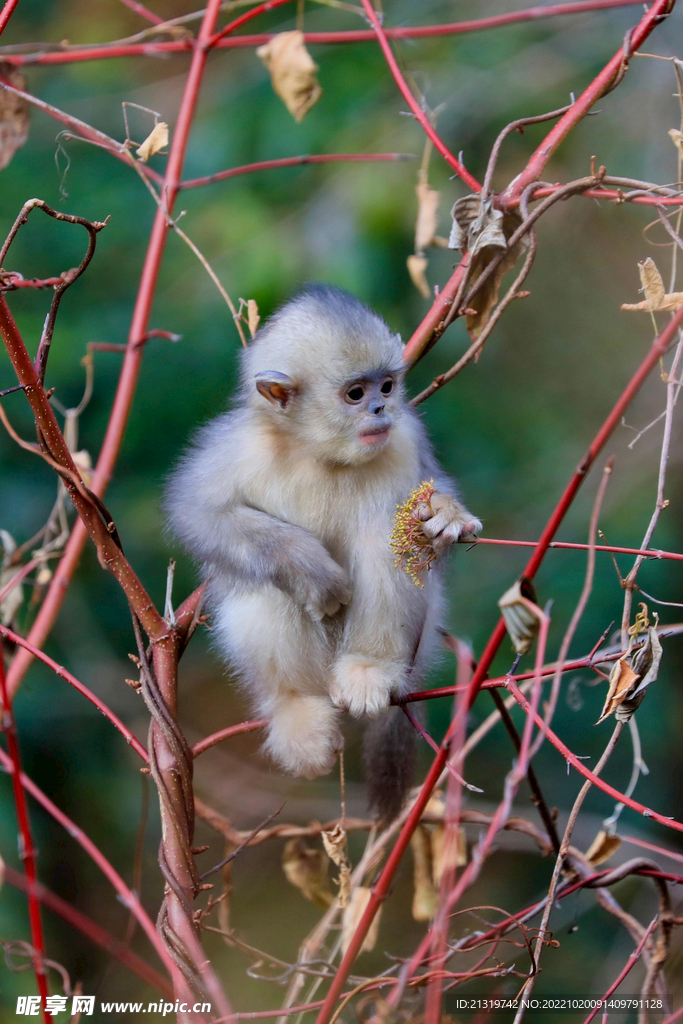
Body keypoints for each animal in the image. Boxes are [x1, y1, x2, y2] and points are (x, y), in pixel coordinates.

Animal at [166, 284, 481, 819]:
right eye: (356, 394)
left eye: (387, 388)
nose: (379, 411)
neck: (320, 453)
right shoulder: (238, 447)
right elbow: (199, 514)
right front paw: (310, 567)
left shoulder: (405, 437)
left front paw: (446, 513)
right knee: (267, 587)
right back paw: (294, 708)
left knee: (378, 536)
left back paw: (369, 670)